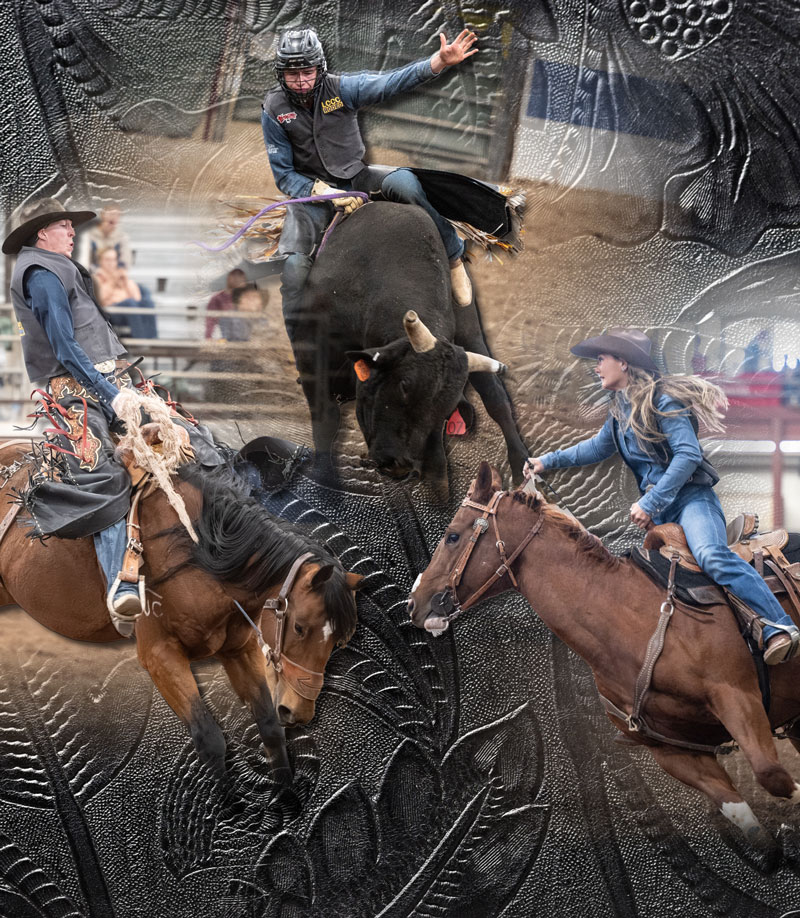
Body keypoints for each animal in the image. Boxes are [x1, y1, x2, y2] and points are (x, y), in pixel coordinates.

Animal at [0, 446, 360, 784]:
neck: (201, 551)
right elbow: (209, 738)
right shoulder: (160, 655)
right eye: (299, 627)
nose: (299, 711)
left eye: (339, 642)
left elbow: (270, 727)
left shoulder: (239, 650)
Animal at [282, 201, 532, 488]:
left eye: (442, 412)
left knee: (495, 398)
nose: (399, 466)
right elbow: (325, 421)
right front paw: (324, 480)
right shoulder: (311, 350)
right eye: (402, 388)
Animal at [410, 464, 800, 844]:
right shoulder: (676, 754)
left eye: (452, 536)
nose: (414, 601)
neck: (631, 619)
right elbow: (752, 824)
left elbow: (774, 776)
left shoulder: (737, 696)